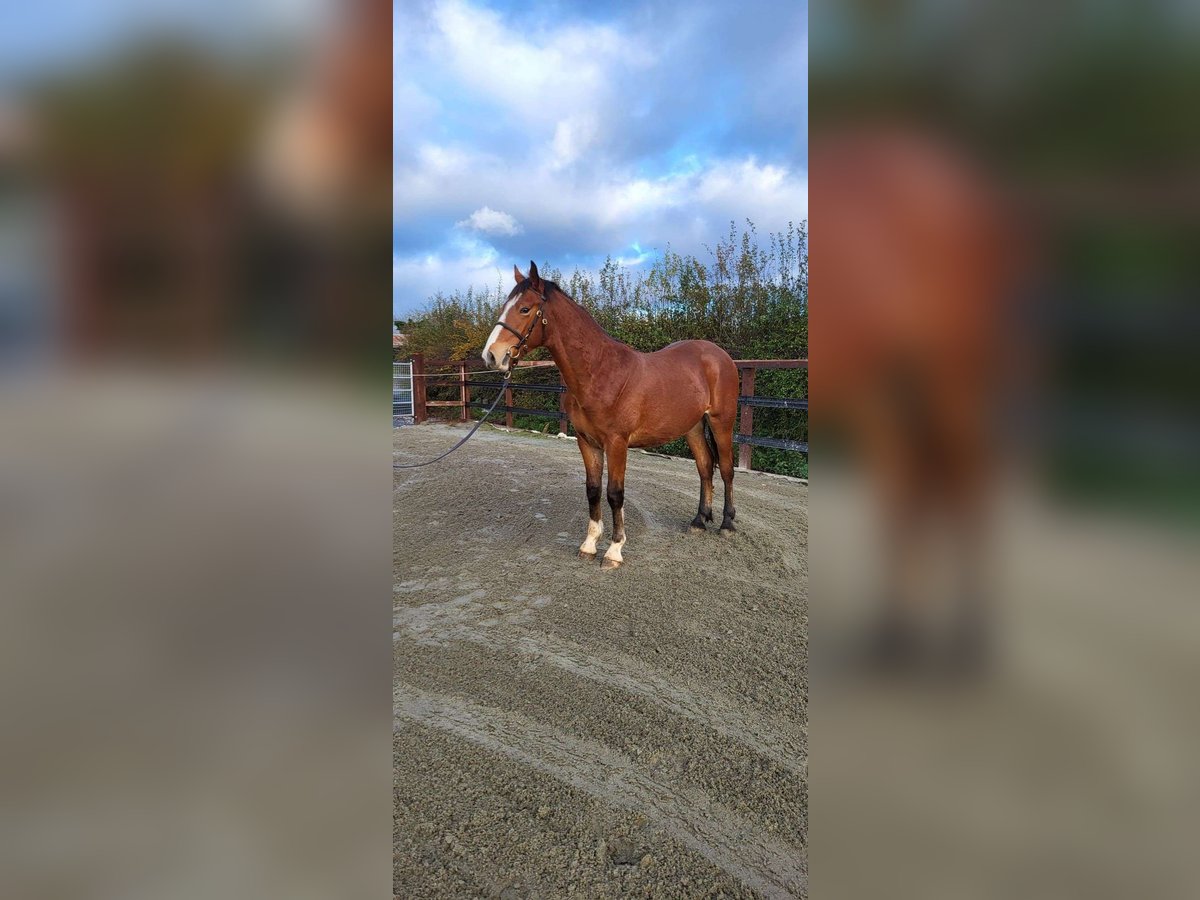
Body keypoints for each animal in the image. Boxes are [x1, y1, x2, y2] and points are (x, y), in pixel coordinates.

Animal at [482, 262, 741, 569]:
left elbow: (615, 494)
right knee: (704, 467)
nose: (491, 355)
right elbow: (593, 490)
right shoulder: (587, 442)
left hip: (721, 422)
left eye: (524, 309)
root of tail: (719, 355)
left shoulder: (617, 443)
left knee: (726, 469)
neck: (600, 372)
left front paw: (615, 550)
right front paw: (590, 544)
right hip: (692, 427)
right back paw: (699, 521)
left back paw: (727, 524)